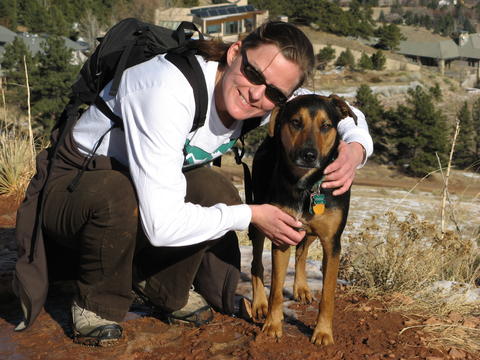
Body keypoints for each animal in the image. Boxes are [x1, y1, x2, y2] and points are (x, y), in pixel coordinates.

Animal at [248, 93, 356, 346]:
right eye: (296, 122)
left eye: (326, 126)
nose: (309, 155)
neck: (307, 185)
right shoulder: (281, 234)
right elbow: (276, 290)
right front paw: (272, 325)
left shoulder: (332, 242)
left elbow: (327, 295)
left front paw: (323, 332)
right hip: (261, 217)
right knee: (256, 263)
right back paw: (259, 303)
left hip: (311, 230)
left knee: (302, 251)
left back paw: (301, 287)